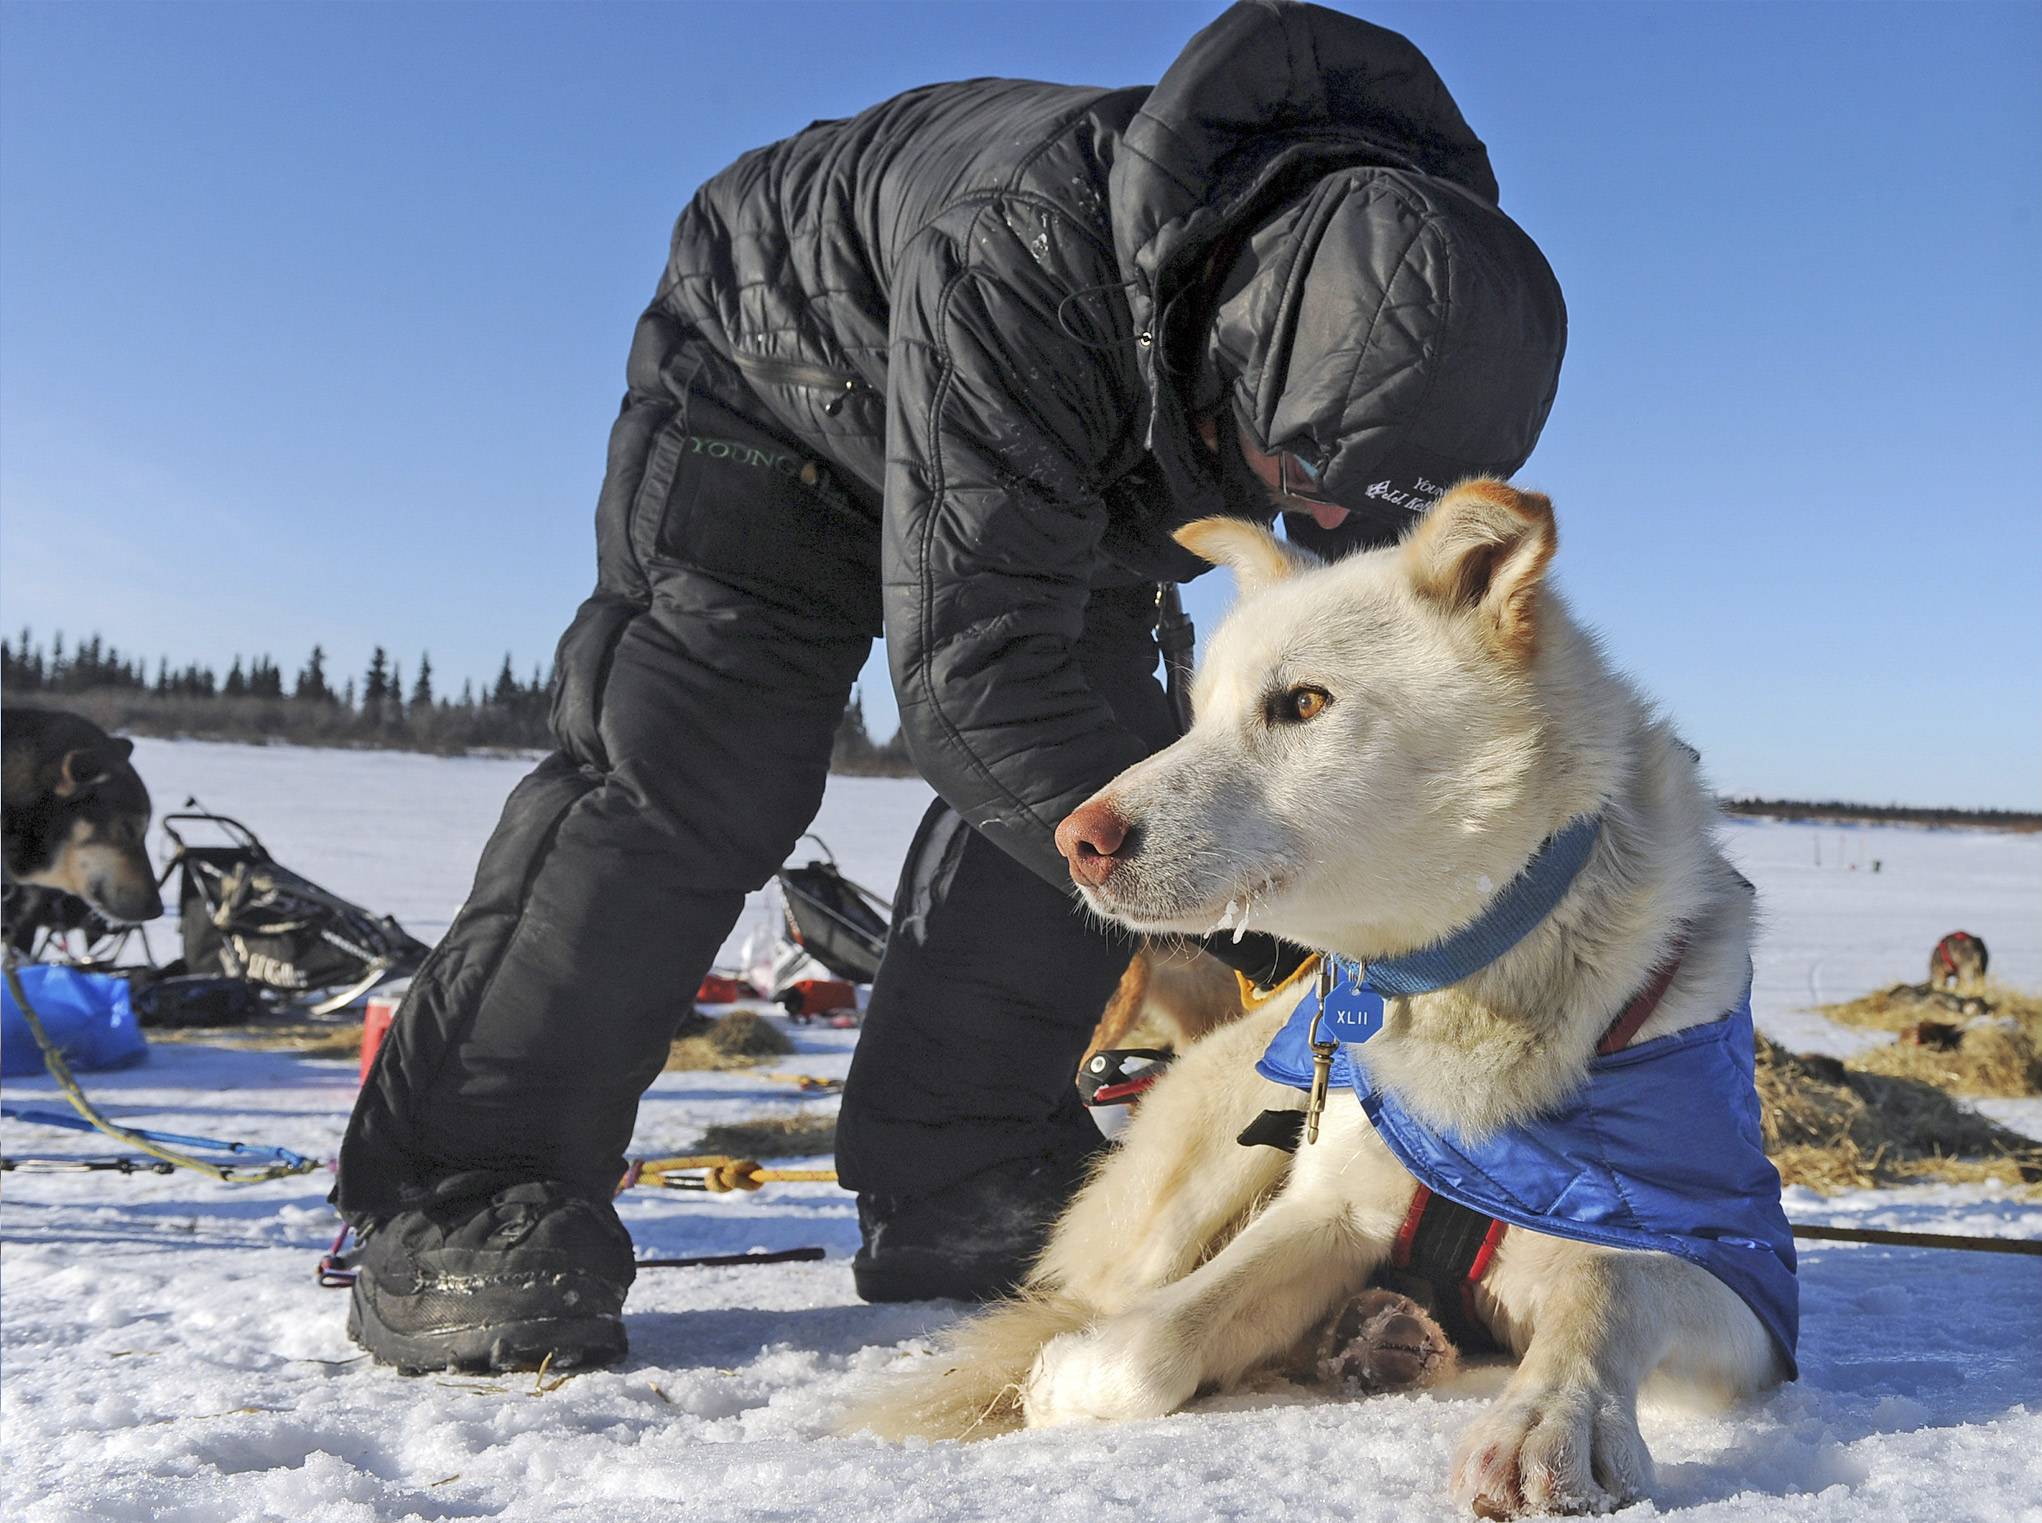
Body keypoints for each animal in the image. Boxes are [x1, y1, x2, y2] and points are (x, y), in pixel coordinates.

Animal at [853, 479, 1796, 1510]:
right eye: (1198, 715)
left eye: (1304, 702)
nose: (1077, 839)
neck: (1468, 983)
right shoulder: (1333, 1203)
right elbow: (1148, 1341)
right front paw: (1074, 1373)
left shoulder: (1735, 1270)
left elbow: (1606, 1283)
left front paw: (1554, 1417)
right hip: (1227, 1138)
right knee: (1119, 1279)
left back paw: (1381, 1335)